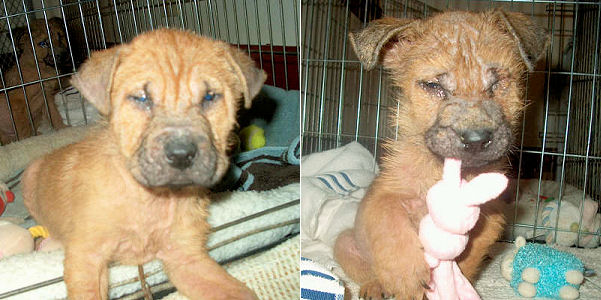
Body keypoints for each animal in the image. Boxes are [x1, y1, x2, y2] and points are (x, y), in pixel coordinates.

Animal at [0, 17, 69, 145]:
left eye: (60, 36)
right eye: (43, 43)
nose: (64, 55)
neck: (39, 68)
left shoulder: (47, 98)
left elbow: (54, 115)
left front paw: (64, 129)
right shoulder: (18, 102)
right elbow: (23, 129)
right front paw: (27, 142)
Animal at [22, 28, 264, 300]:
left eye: (210, 97)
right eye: (141, 98)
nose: (181, 155)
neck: (151, 198)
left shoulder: (186, 257)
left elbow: (239, 292)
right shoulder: (87, 257)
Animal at [332, 10, 548, 298]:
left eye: (497, 84)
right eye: (433, 86)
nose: (477, 140)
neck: (444, 171)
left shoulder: (490, 218)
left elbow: (467, 257)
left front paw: (453, 284)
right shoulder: (382, 196)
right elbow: (391, 227)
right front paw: (407, 278)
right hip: (344, 242)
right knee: (367, 269)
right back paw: (375, 287)